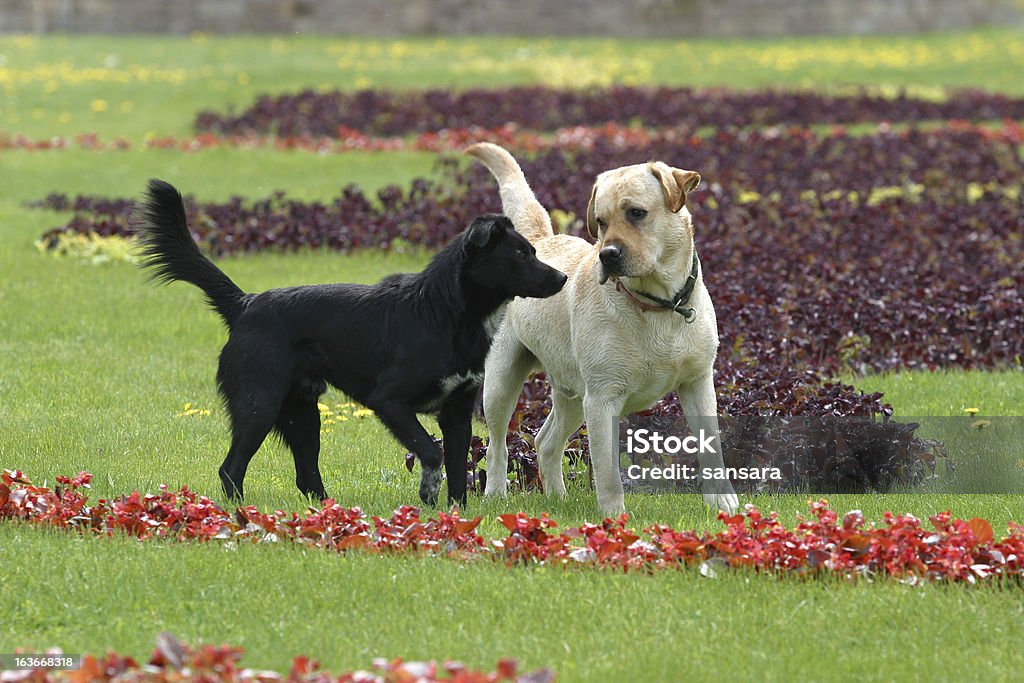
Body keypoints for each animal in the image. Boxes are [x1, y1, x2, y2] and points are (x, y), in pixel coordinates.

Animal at [133, 181, 569, 507]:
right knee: (232, 468)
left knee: (307, 475)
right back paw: (240, 514)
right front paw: (428, 492)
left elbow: (458, 470)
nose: (562, 278)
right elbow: (432, 452)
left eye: (532, 251)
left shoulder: (458, 411)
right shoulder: (389, 400)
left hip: (303, 413)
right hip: (260, 403)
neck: (442, 311)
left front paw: (454, 514)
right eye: (520, 254)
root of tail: (246, 304)